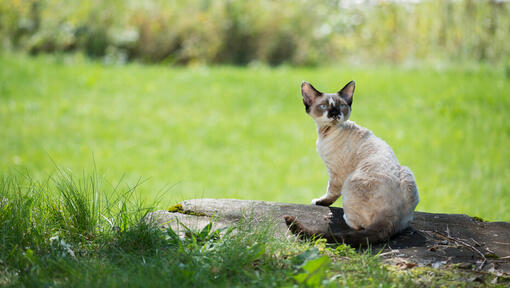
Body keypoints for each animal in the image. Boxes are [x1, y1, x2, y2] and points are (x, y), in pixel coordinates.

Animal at [282, 80, 418, 245]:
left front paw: (319, 202)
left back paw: (344, 217)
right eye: (324, 106)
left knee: (358, 225)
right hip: (407, 172)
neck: (325, 132)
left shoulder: (335, 173)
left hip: (349, 182)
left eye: (341, 106)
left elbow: (330, 193)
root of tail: (392, 215)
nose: (335, 114)